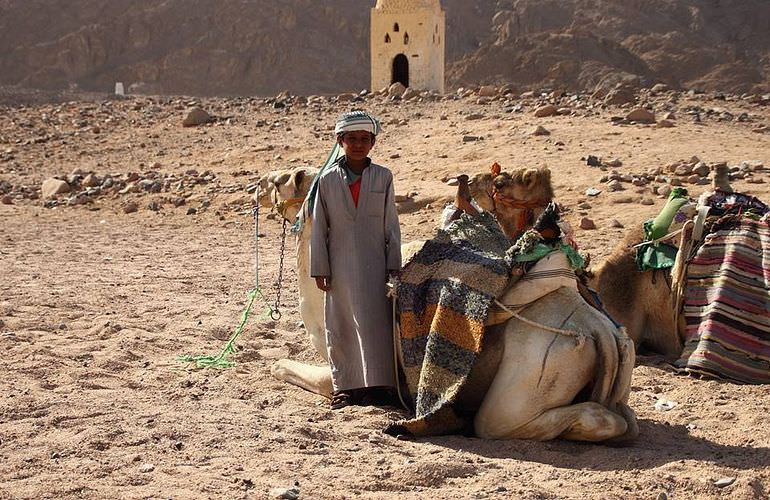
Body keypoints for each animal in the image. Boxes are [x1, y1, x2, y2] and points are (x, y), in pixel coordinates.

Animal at [258, 165, 636, 442]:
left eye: (283, 180)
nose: (258, 185)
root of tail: (601, 331)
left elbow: (279, 365)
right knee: (625, 419)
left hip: (539, 369)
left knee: (499, 422)